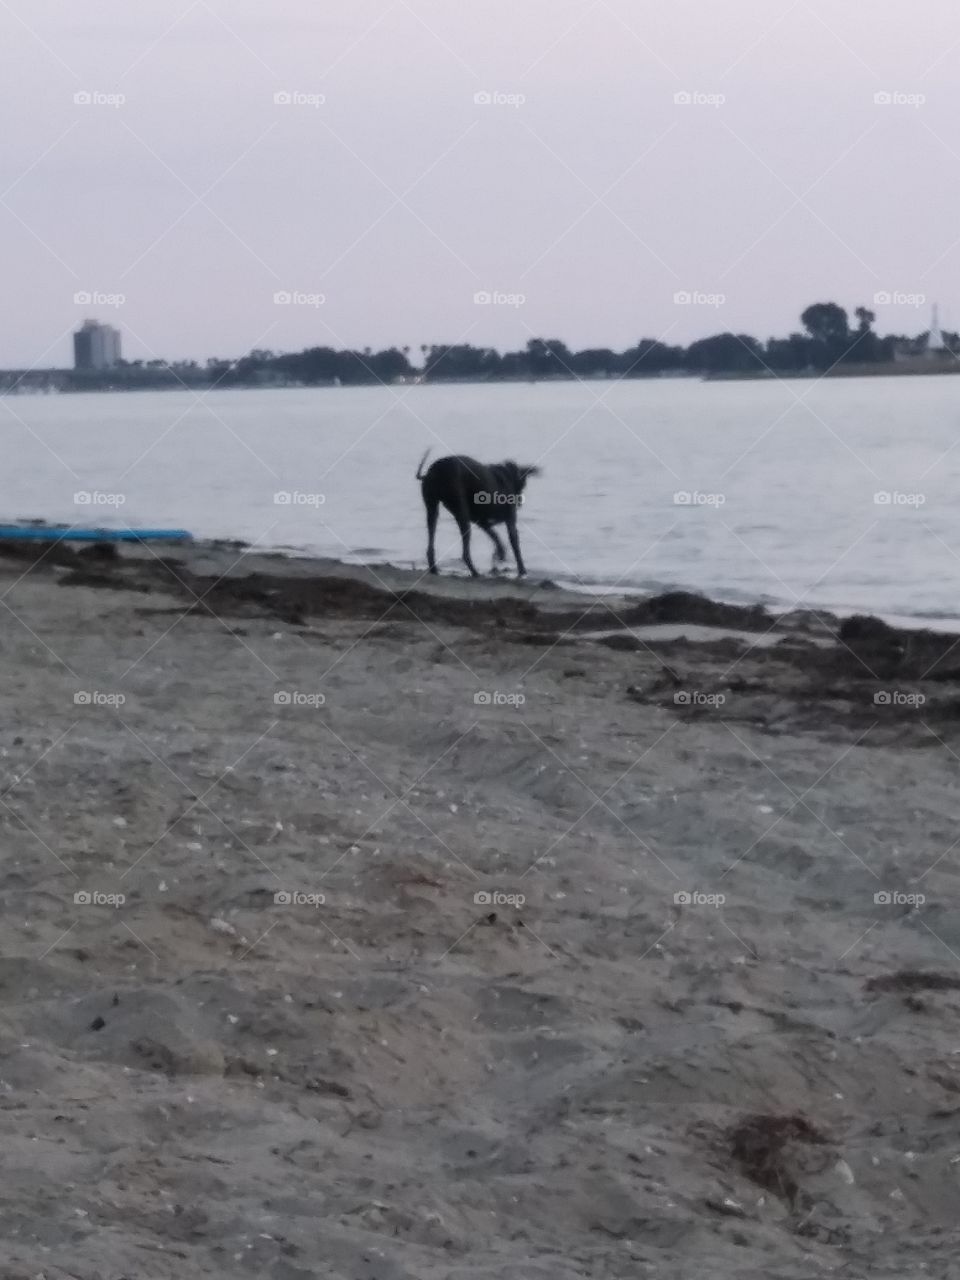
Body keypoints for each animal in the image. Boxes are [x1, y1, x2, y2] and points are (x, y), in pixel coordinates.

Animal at [417, 445, 542, 576]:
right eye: (523, 484)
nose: (520, 501)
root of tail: (436, 470)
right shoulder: (509, 522)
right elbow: (515, 545)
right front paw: (522, 570)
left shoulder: (482, 522)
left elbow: (495, 537)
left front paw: (500, 554)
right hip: (462, 514)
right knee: (465, 552)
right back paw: (474, 571)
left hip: (432, 510)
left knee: (431, 539)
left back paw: (434, 568)